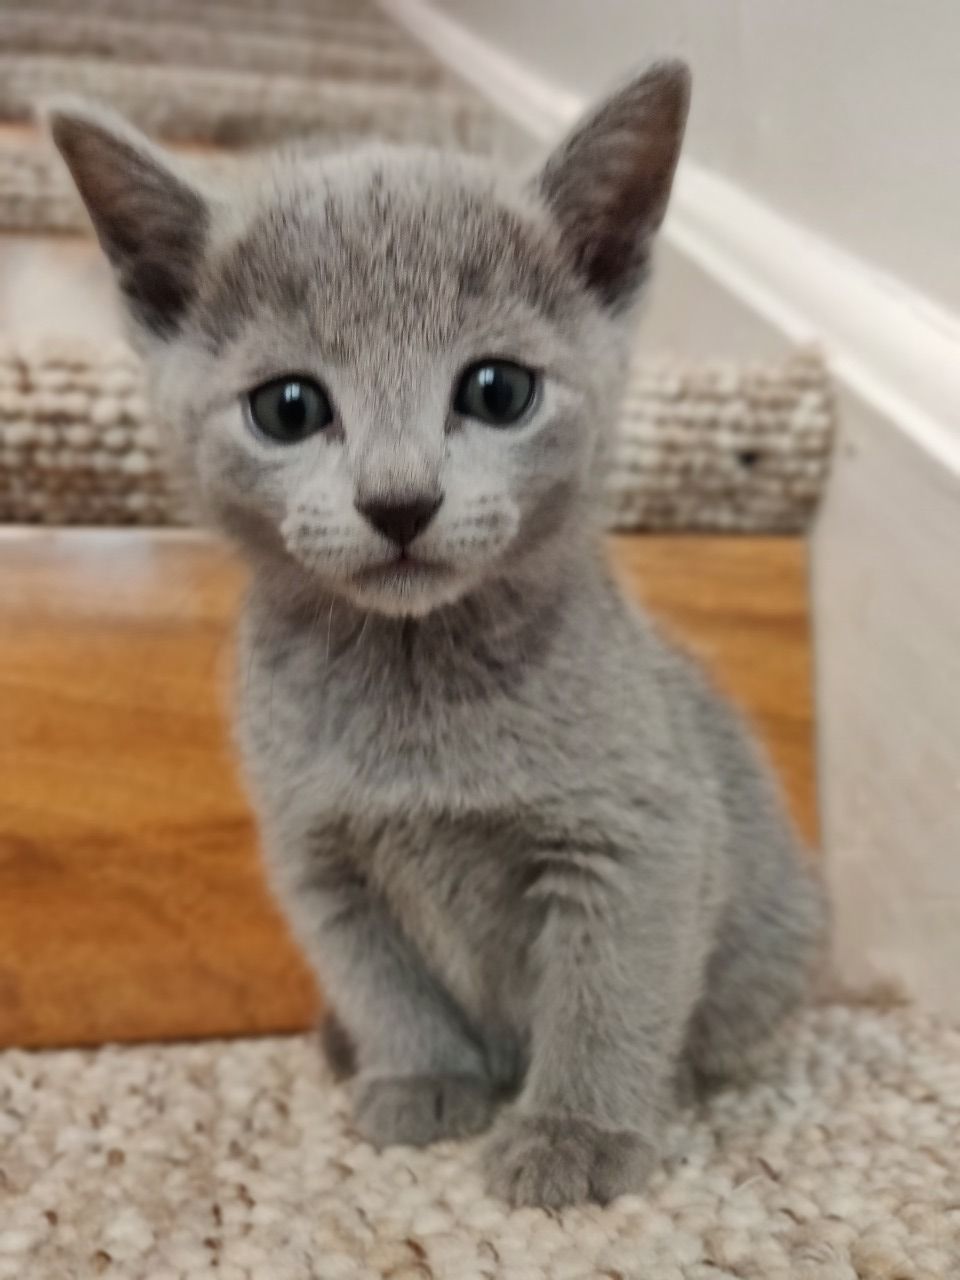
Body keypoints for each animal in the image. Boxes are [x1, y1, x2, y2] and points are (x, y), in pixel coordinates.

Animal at [52, 67, 829, 1208]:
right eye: (289, 408)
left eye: (497, 390)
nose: (399, 499)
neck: (414, 680)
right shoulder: (316, 859)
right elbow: (383, 981)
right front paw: (421, 1077)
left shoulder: (639, 831)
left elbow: (606, 989)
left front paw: (574, 1133)